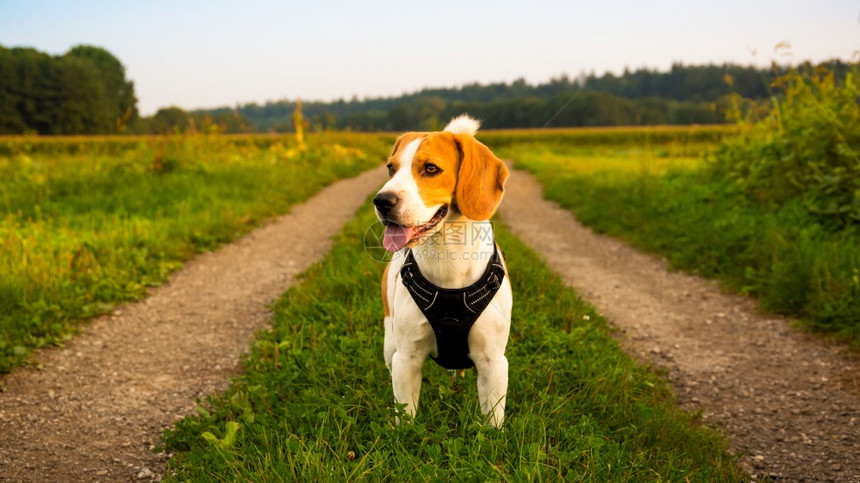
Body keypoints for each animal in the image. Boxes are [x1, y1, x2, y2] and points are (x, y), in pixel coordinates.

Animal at [374, 113, 510, 428]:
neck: (448, 257)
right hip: (389, 345)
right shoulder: (406, 359)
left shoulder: (494, 362)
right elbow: (406, 419)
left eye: (430, 169)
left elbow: (493, 425)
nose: (382, 201)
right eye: (391, 168)